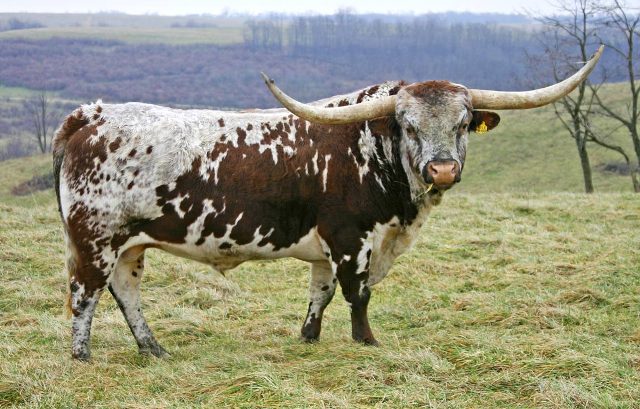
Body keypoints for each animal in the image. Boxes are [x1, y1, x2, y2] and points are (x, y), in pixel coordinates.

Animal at [53, 46, 603, 360]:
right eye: (408, 125)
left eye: (464, 123)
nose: (443, 169)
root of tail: (91, 114)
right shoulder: (352, 238)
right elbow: (357, 294)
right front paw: (367, 342)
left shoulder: (327, 247)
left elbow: (321, 292)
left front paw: (309, 337)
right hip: (94, 239)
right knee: (85, 294)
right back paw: (82, 356)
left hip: (129, 246)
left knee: (125, 292)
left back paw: (154, 349)